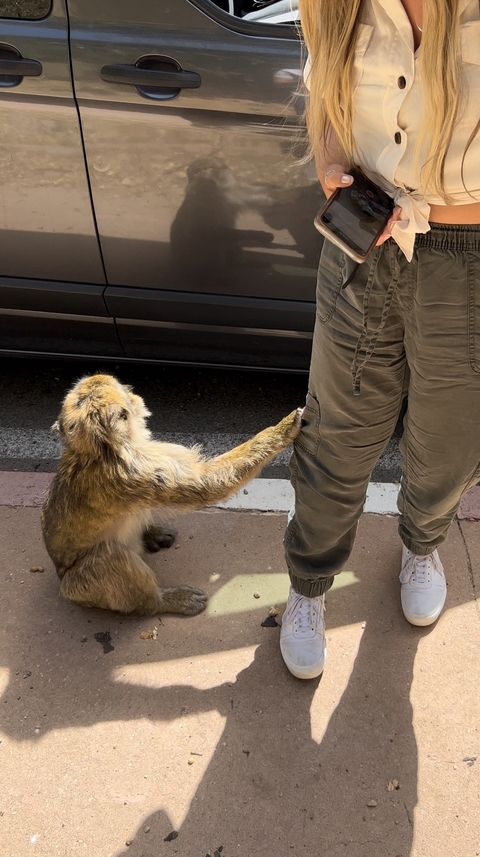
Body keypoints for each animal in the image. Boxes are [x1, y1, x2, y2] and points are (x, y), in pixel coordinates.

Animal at [41, 374, 302, 618]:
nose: (132, 392)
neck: (96, 450)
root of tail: (61, 579)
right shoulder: (137, 469)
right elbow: (207, 485)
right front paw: (279, 431)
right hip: (82, 589)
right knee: (111, 557)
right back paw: (162, 601)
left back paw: (150, 535)